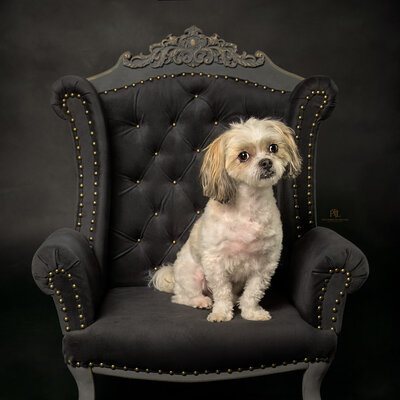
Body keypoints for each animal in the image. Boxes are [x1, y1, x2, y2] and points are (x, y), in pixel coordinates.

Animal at [150, 118, 300, 322]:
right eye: (243, 156)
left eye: (273, 147)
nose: (266, 162)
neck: (249, 207)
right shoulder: (215, 262)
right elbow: (221, 292)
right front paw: (221, 313)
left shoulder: (265, 264)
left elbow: (253, 292)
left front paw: (251, 312)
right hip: (191, 274)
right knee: (182, 296)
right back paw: (200, 301)